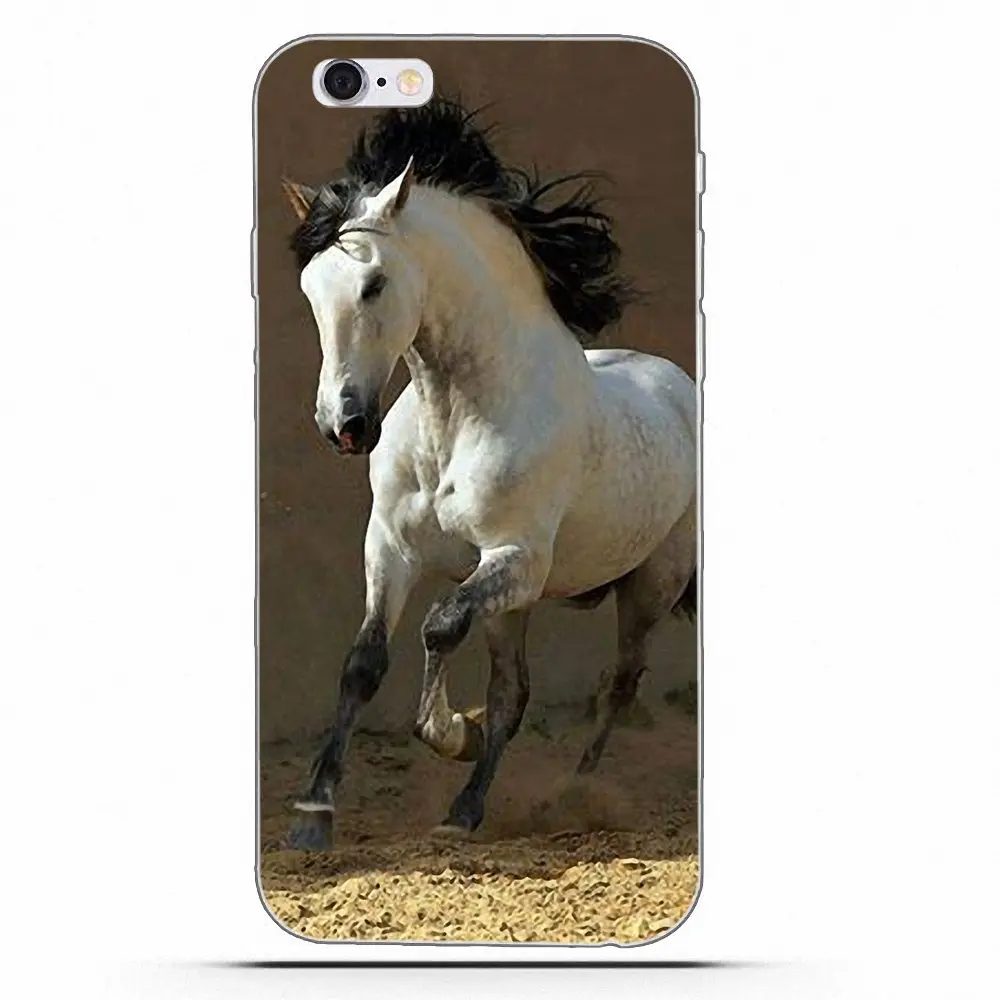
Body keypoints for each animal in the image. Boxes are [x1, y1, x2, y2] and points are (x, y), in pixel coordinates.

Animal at [279, 99, 697, 851]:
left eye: (373, 283)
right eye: (309, 289)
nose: (343, 424)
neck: (455, 421)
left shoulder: (515, 557)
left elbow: (440, 627)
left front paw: (453, 733)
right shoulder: (390, 547)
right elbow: (363, 663)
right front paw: (313, 817)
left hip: (649, 585)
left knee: (619, 684)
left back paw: (568, 793)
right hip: (518, 605)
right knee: (515, 691)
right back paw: (469, 807)